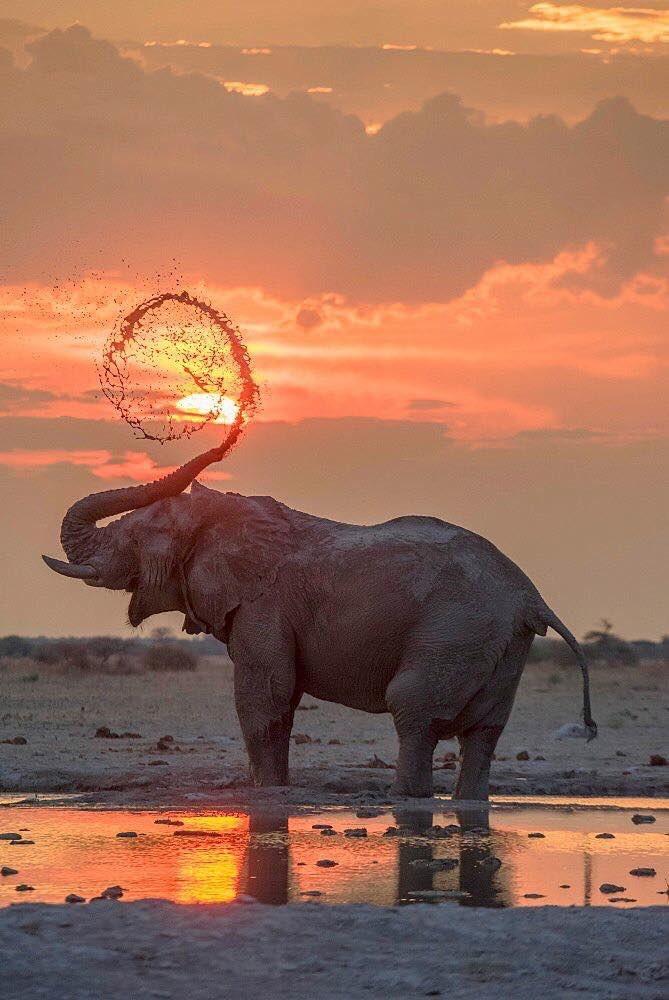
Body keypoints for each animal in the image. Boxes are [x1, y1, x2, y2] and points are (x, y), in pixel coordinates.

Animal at [43, 442, 596, 800]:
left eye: (139, 535)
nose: (222, 438)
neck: (223, 515)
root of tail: (530, 596)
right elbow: (280, 701)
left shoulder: (264, 604)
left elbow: (262, 699)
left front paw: (265, 795)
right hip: (503, 644)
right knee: (484, 733)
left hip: (456, 629)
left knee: (414, 712)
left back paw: (406, 802)